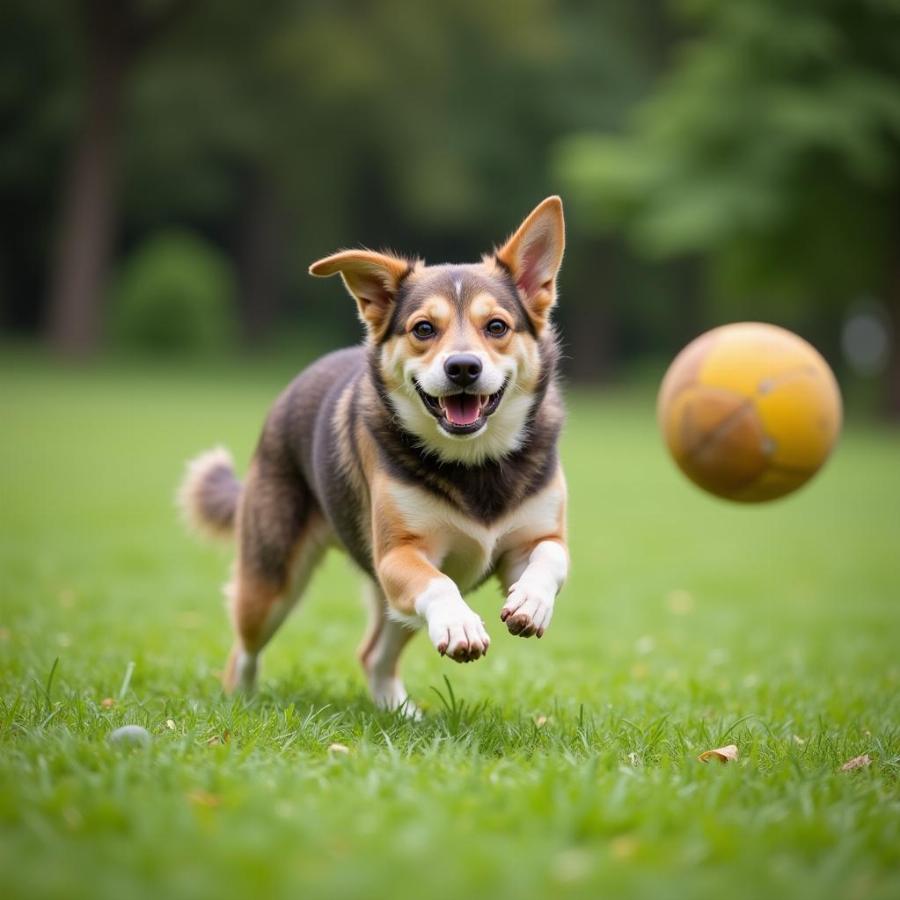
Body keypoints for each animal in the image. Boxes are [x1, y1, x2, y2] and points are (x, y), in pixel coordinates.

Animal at [178, 195, 568, 712]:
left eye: (497, 326)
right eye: (423, 329)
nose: (463, 367)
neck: (473, 463)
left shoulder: (535, 538)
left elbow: (550, 558)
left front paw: (531, 603)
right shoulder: (398, 555)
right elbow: (439, 584)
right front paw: (460, 624)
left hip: (387, 606)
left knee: (373, 654)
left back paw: (400, 712)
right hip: (271, 579)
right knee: (244, 646)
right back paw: (239, 701)